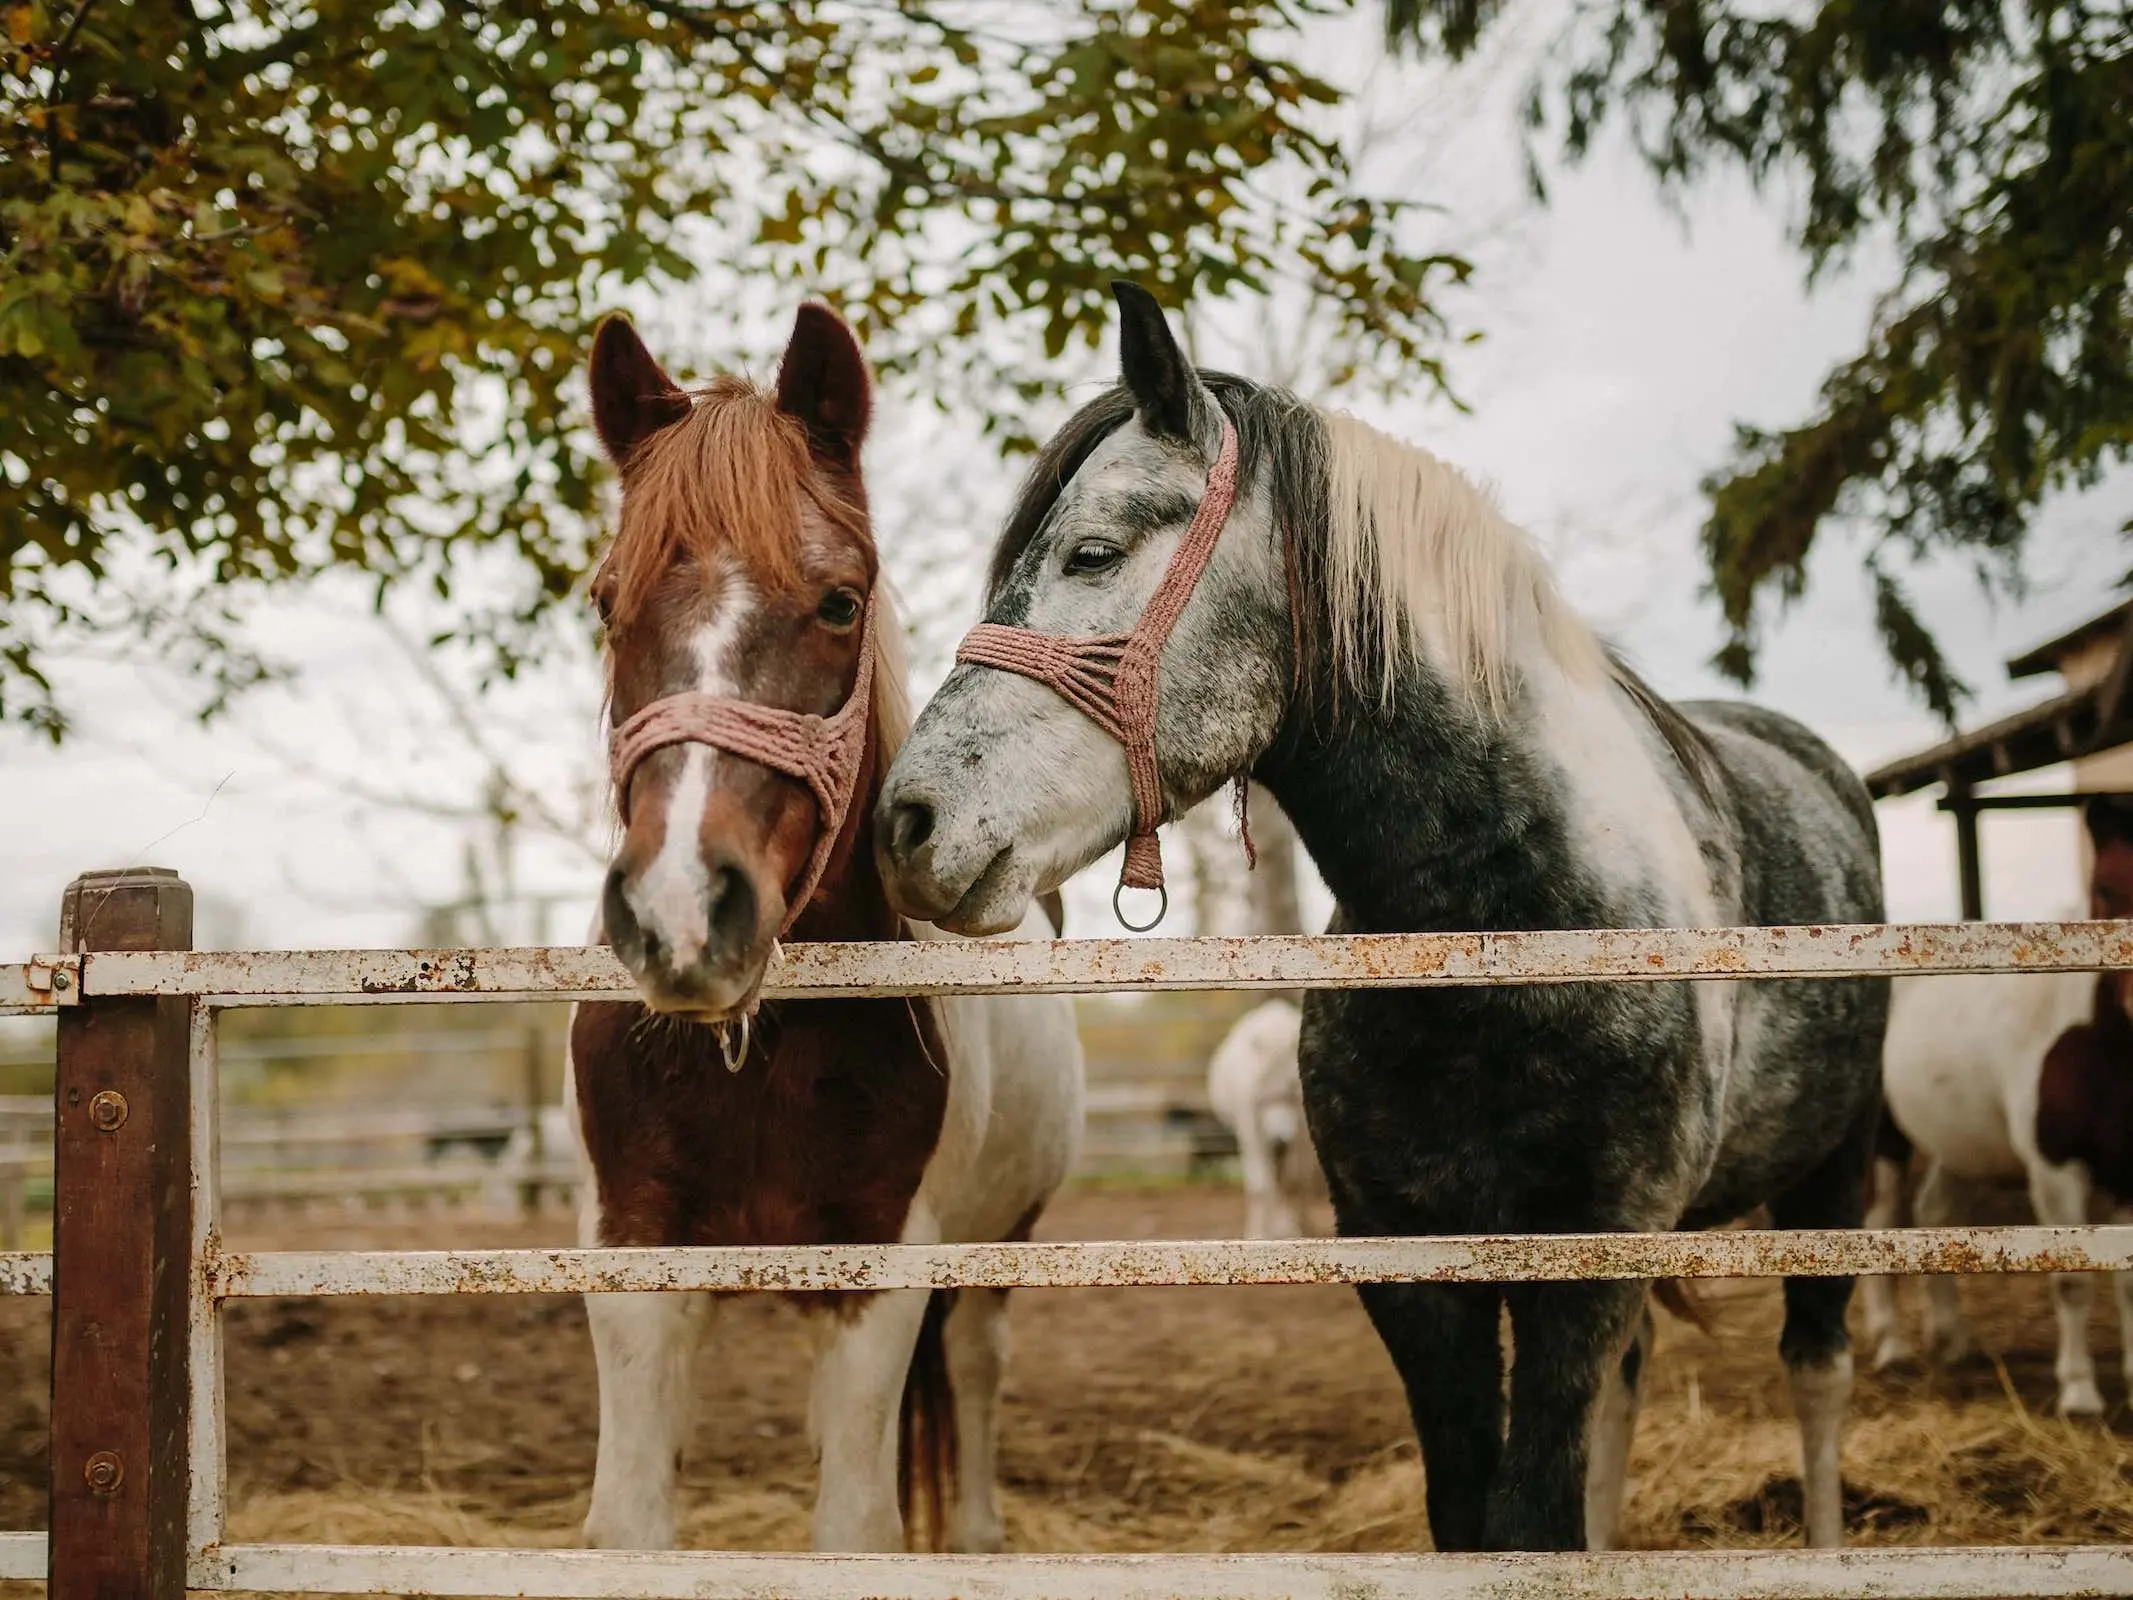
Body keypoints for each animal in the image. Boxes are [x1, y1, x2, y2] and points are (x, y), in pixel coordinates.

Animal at [567, 309, 1083, 1553]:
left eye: (840, 601)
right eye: (606, 602)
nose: (682, 911)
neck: (757, 1050)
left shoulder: (879, 1277)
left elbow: (857, 1525)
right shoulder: (631, 1258)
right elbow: (632, 1526)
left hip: (998, 1249)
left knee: (979, 1365)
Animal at [1211, 1002, 1322, 1237]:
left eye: (1290, 1094)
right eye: (1263, 1097)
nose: (1281, 1139)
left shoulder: (1301, 1132)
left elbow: (1297, 1180)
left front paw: (1297, 1229)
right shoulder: (1249, 1124)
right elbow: (1261, 1185)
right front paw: (1259, 1234)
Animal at [1859, 797, 2133, 1416]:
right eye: (2105, 886)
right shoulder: (2054, 1169)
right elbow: (2073, 1279)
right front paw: (2079, 1393)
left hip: (1959, 1143)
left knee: (1935, 1214)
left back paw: (1952, 1340)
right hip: (1883, 1142)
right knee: (1880, 1220)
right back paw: (1892, 1347)